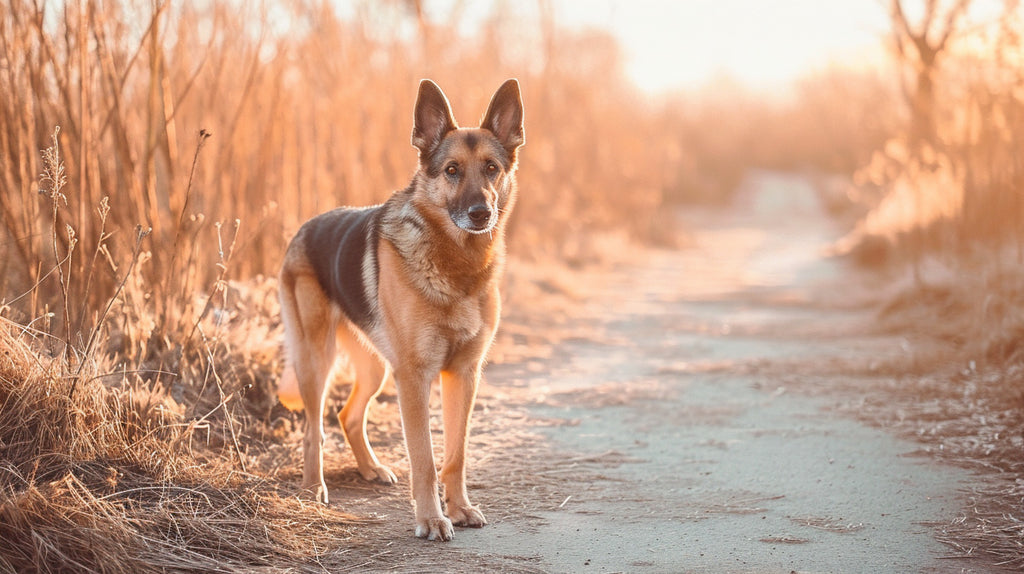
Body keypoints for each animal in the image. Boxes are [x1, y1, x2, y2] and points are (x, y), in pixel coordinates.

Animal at [276, 78, 524, 540]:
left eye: (491, 168)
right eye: (451, 170)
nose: (480, 213)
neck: (456, 263)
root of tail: (304, 228)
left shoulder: (463, 375)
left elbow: (456, 454)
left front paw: (459, 508)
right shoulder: (414, 376)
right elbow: (424, 459)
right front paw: (431, 519)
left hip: (375, 367)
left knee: (348, 415)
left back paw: (370, 468)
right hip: (317, 360)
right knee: (315, 428)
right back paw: (313, 488)